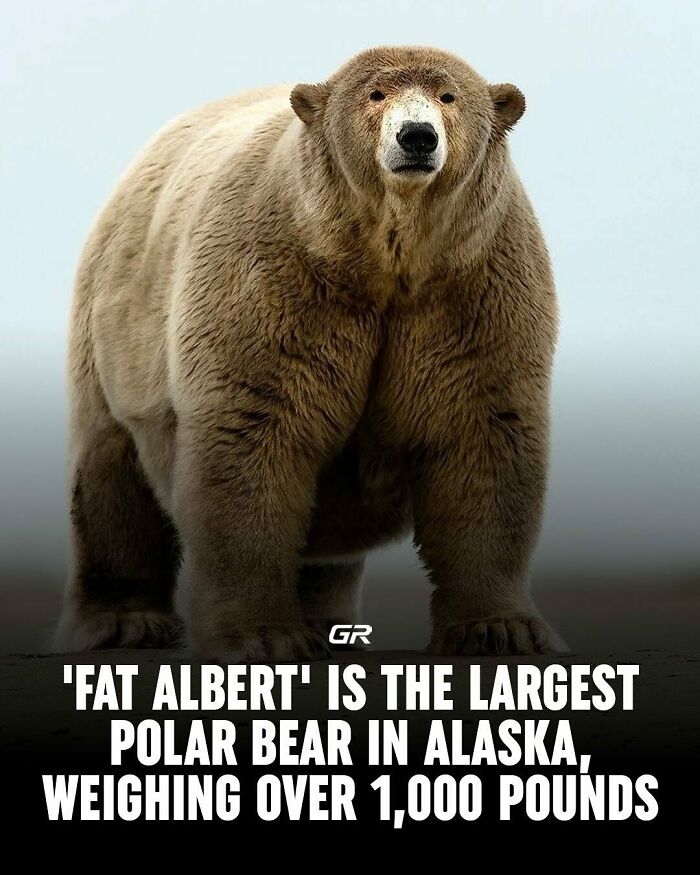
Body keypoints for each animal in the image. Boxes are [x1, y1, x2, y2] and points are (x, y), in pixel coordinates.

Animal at [57, 45, 564, 660]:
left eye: (448, 96)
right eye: (375, 93)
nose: (417, 137)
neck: (385, 262)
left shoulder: (473, 288)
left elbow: (482, 437)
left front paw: (500, 629)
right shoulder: (275, 278)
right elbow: (255, 432)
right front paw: (264, 636)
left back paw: (330, 623)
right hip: (114, 329)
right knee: (110, 472)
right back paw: (124, 621)